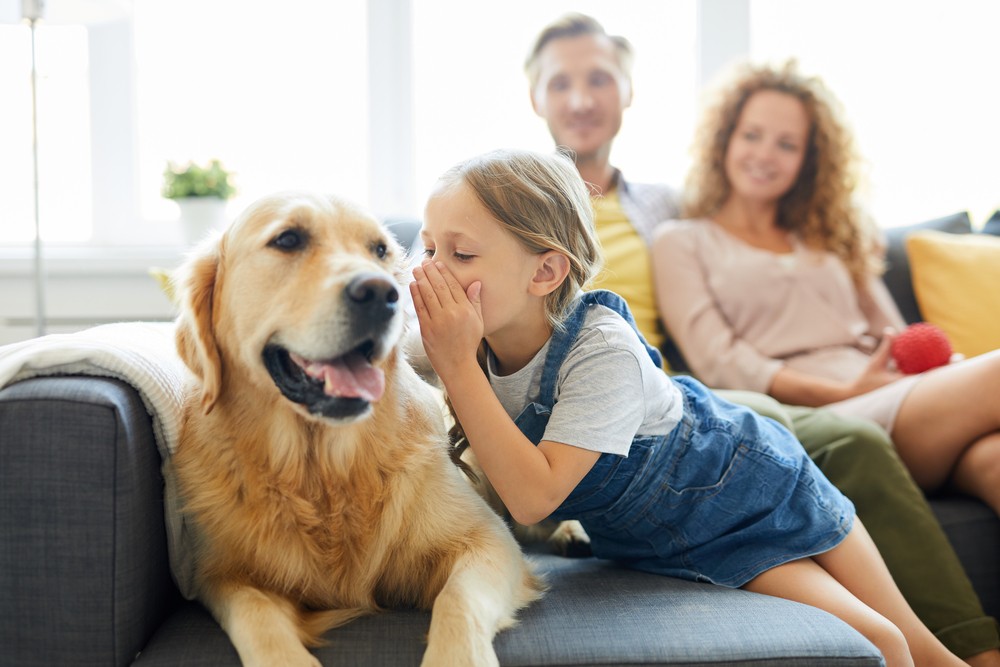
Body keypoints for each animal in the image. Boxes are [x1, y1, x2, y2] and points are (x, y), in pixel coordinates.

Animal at [176, 192, 544, 667]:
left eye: (380, 250)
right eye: (287, 239)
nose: (381, 293)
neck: (324, 471)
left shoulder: (488, 540)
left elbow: (457, 600)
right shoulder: (224, 575)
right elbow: (257, 618)